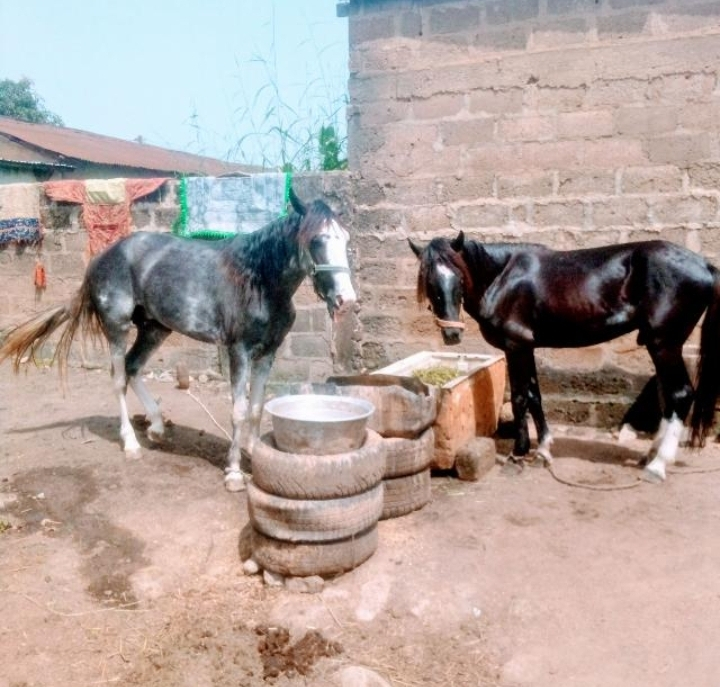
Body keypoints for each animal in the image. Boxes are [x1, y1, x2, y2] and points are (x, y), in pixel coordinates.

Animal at [0, 188, 356, 491]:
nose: (346, 300)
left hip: (155, 328)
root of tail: (101, 258)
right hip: (117, 327)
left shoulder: (268, 352)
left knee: (133, 367)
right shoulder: (238, 351)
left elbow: (256, 408)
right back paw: (131, 444)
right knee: (118, 378)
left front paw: (256, 454)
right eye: (316, 240)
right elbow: (239, 411)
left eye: (345, 239)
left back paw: (156, 428)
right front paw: (234, 473)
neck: (258, 281)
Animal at [410, 231, 720, 482]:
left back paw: (658, 466)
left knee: (680, 394)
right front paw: (544, 451)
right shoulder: (527, 348)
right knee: (668, 395)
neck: (503, 277)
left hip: (664, 344)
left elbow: (520, 398)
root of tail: (705, 265)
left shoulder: (515, 347)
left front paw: (518, 455)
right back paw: (650, 455)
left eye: (459, 276)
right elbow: (534, 395)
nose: (452, 334)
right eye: (427, 281)